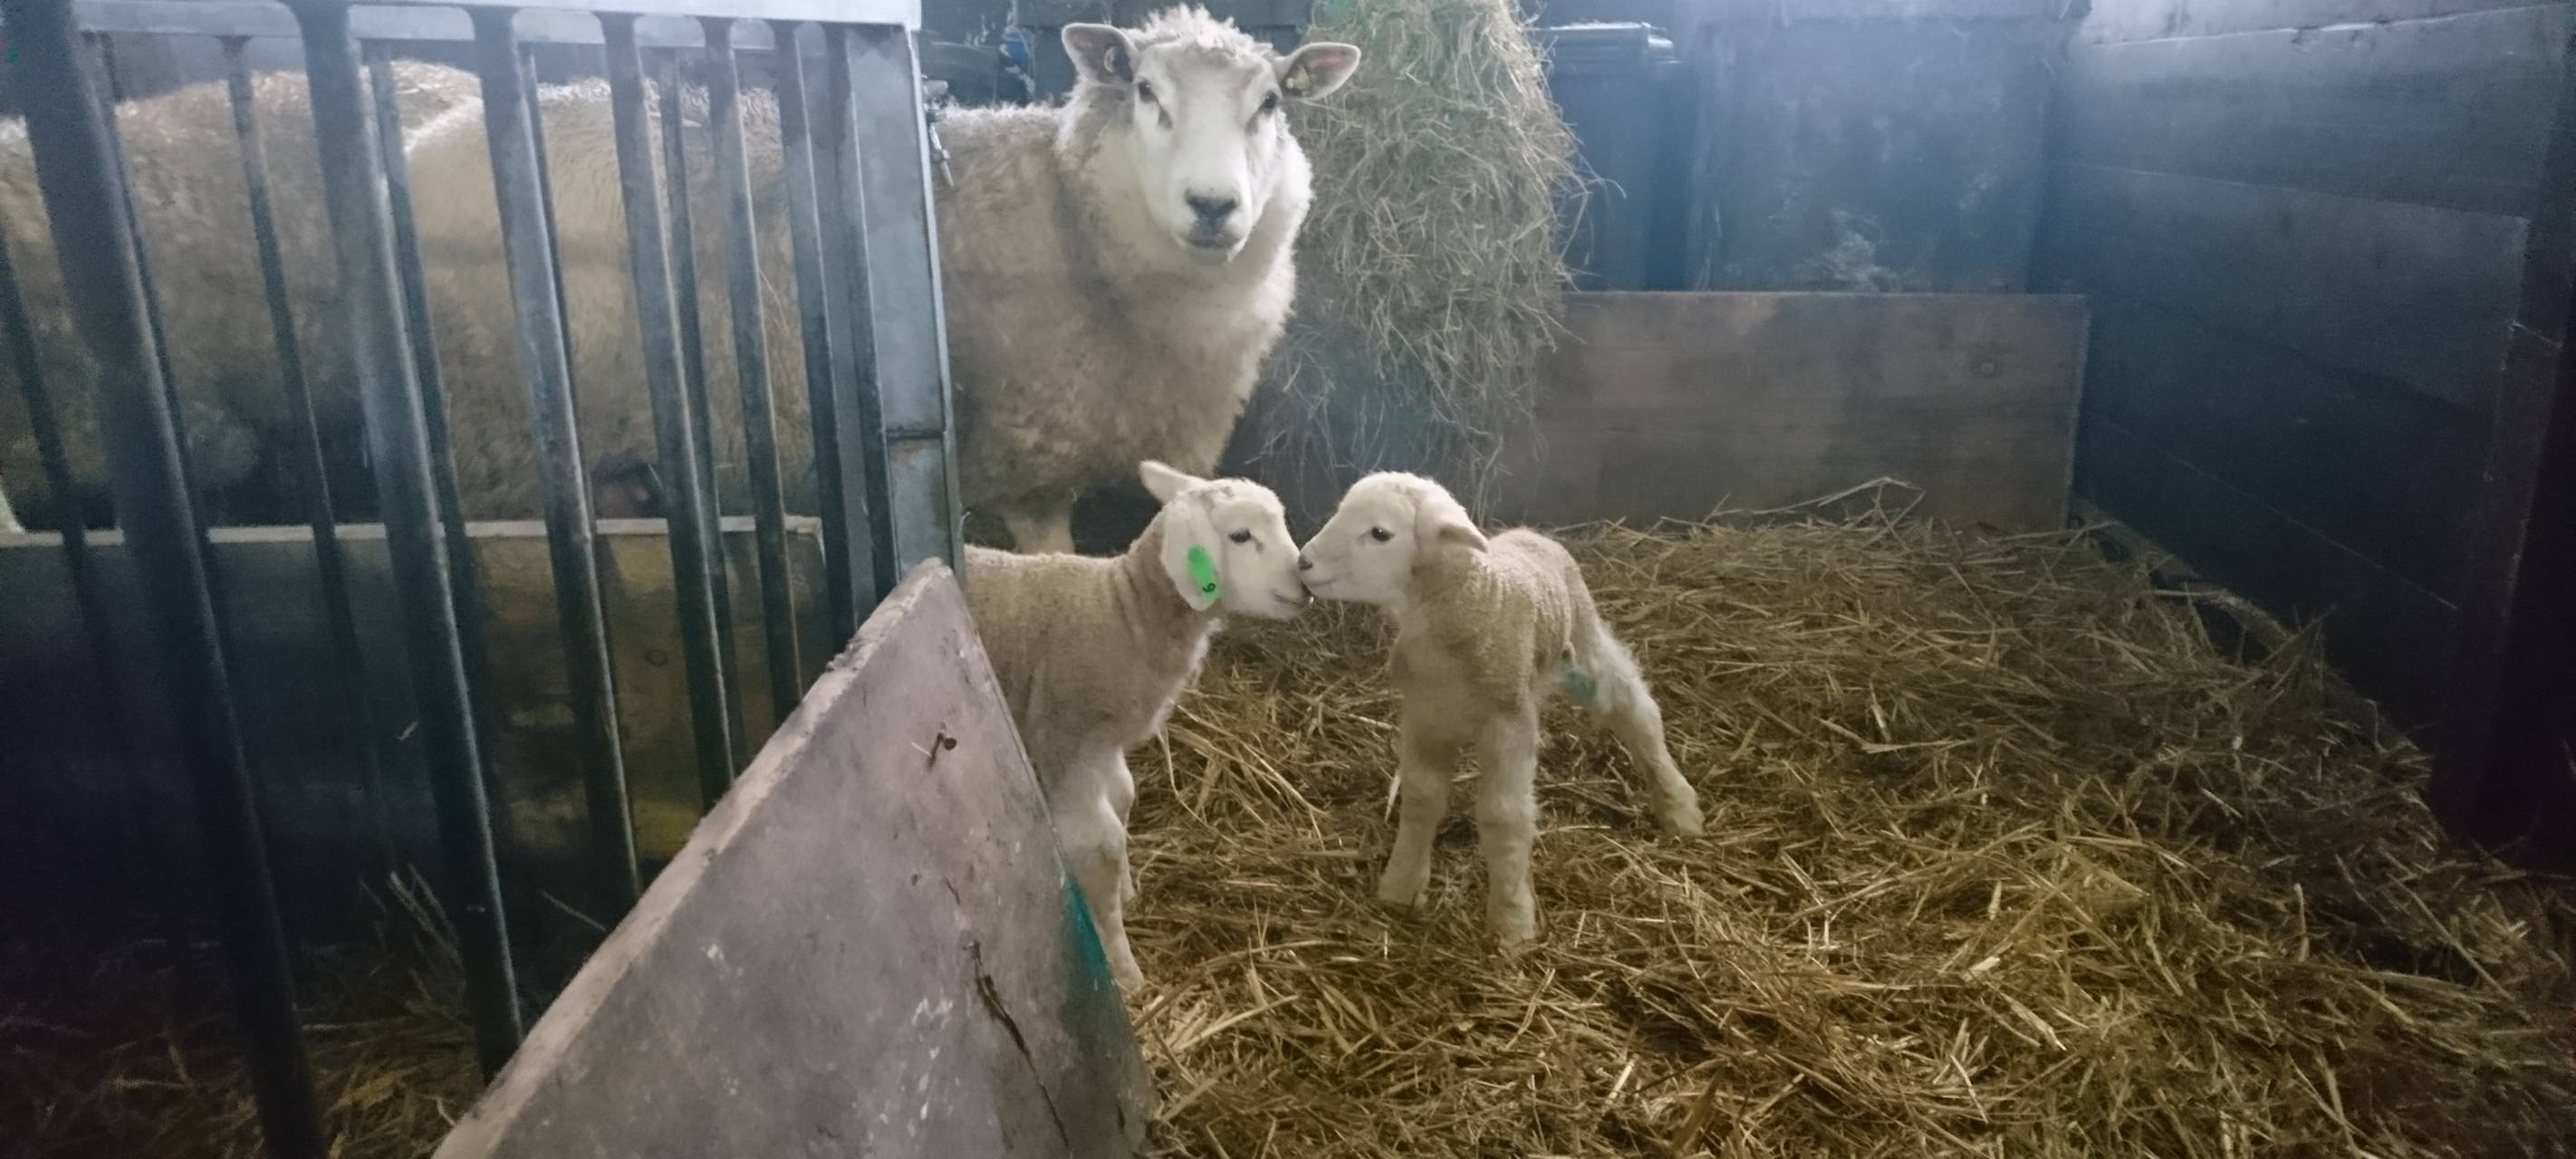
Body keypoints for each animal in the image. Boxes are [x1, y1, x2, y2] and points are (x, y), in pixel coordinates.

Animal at [0, 7, 1363, 547]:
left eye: (1272, 103)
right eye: (1146, 93)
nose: (1215, 208)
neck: (1070, 224)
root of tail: (407, 159)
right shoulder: (1029, 457)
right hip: (504, 429)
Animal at [959, 459, 1308, 987]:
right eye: (1241, 535)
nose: (1305, 584)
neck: (1123, 614)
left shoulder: (1103, 742)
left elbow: (1124, 797)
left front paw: (1127, 890)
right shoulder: (1066, 744)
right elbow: (1099, 843)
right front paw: (1125, 971)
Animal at [1295, 472, 1704, 947]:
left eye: (1380, 533)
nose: (1303, 562)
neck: (1470, 602)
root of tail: (1530, 533)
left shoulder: (1508, 725)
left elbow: (1504, 816)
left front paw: (1512, 921)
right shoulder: (1425, 716)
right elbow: (1420, 799)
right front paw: (1401, 887)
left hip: (1584, 642)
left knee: (1635, 711)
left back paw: (1679, 808)